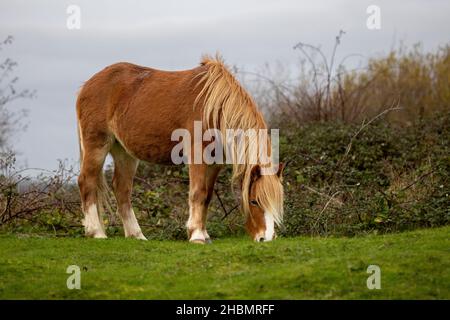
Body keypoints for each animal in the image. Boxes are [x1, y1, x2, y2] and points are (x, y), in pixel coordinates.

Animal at [74, 54, 284, 242]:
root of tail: (87, 85)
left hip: (124, 153)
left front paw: (204, 233)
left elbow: (207, 196)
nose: (266, 238)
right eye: (254, 201)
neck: (214, 108)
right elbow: (197, 193)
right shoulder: (197, 155)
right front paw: (196, 235)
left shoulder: (215, 162)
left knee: (122, 189)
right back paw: (96, 232)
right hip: (97, 145)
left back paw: (137, 235)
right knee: (87, 181)